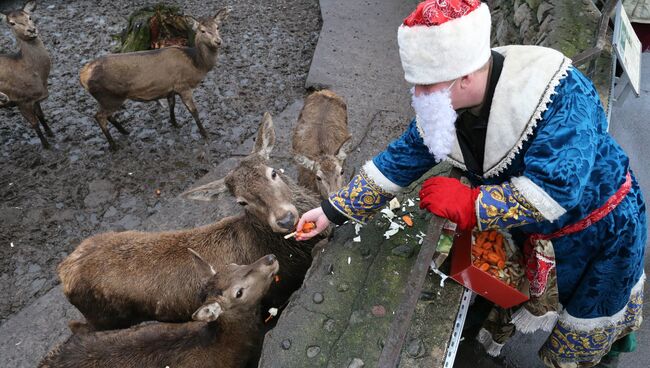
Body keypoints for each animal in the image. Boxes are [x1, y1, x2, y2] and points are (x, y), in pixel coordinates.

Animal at [0, 1, 53, 149]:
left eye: (29, 17)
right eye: (12, 23)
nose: (31, 30)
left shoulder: (35, 99)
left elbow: (41, 115)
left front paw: (51, 133)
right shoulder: (21, 100)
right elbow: (34, 123)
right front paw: (46, 145)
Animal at [57, 111, 324, 330]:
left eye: (273, 173)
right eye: (241, 201)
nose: (285, 219)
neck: (293, 254)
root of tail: (63, 271)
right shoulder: (277, 293)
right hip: (104, 319)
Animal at [77, 6, 229, 150]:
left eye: (217, 27)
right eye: (202, 31)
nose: (218, 41)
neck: (196, 64)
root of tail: (82, 76)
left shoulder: (170, 88)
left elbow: (172, 105)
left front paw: (175, 123)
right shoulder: (183, 86)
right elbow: (194, 111)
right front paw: (205, 134)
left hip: (107, 99)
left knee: (106, 115)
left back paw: (124, 131)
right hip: (110, 96)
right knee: (99, 116)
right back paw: (114, 145)